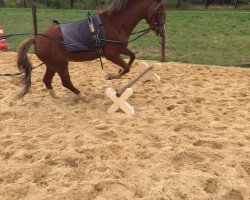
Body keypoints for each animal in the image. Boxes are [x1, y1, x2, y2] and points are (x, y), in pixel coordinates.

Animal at [16, 0, 165, 99]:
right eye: (161, 13)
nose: (162, 32)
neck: (114, 25)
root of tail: (37, 38)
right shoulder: (111, 55)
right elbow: (127, 68)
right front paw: (111, 76)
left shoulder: (121, 49)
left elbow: (132, 57)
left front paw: (117, 72)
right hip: (61, 64)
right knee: (65, 82)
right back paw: (82, 95)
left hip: (52, 65)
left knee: (47, 80)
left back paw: (56, 96)